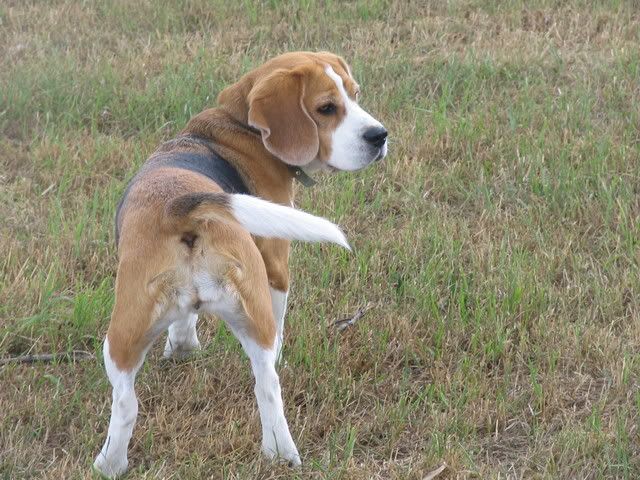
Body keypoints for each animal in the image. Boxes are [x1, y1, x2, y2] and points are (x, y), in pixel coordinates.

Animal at [93, 51, 388, 477]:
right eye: (326, 108)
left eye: (355, 93)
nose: (379, 136)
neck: (236, 126)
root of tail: (178, 207)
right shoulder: (276, 266)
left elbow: (184, 322)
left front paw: (182, 348)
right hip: (232, 311)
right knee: (267, 380)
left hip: (124, 334)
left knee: (128, 403)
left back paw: (112, 464)